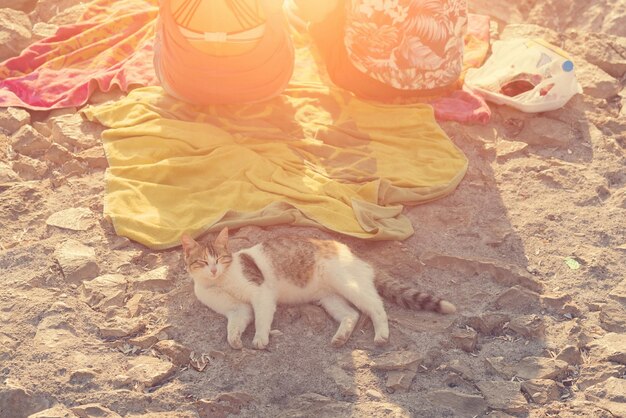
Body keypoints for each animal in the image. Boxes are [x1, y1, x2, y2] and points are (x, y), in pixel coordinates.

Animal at [180, 227, 454, 352]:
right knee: (351, 315)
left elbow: (261, 320)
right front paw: (236, 340)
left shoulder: (261, 294)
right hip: (330, 298)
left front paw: (260, 339)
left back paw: (381, 335)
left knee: (376, 306)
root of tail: (357, 256)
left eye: (219, 259)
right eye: (202, 262)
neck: (220, 282)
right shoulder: (237, 310)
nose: (213, 270)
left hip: (348, 284)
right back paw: (341, 337)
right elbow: (234, 326)